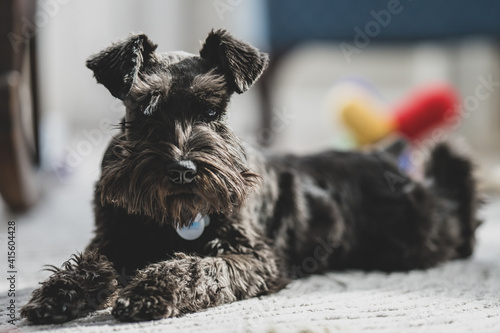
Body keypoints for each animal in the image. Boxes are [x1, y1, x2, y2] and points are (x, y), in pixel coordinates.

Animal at [21, 30, 482, 322]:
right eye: (145, 109)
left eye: (213, 111)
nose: (182, 169)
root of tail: (386, 158)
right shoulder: (112, 239)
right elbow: (90, 262)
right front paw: (59, 295)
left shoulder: (252, 254)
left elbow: (195, 267)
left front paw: (149, 292)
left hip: (419, 236)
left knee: (457, 210)